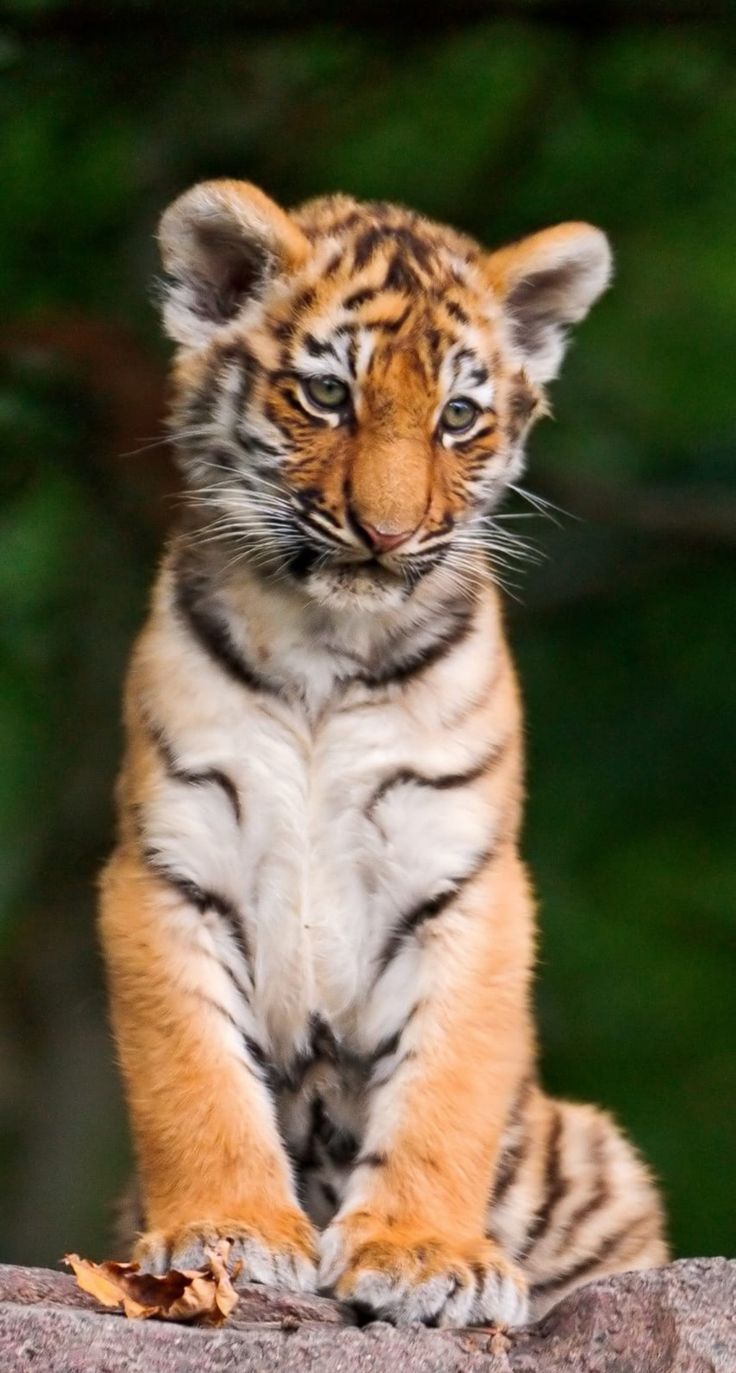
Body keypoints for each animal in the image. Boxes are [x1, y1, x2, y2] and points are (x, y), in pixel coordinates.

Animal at [98, 179, 667, 1329]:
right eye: (326, 394)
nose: (388, 533)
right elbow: (191, 1075)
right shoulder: (163, 867)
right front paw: (226, 1229)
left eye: (458, 415)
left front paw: (422, 1254)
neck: (328, 646)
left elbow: (447, 1085)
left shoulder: (468, 882)